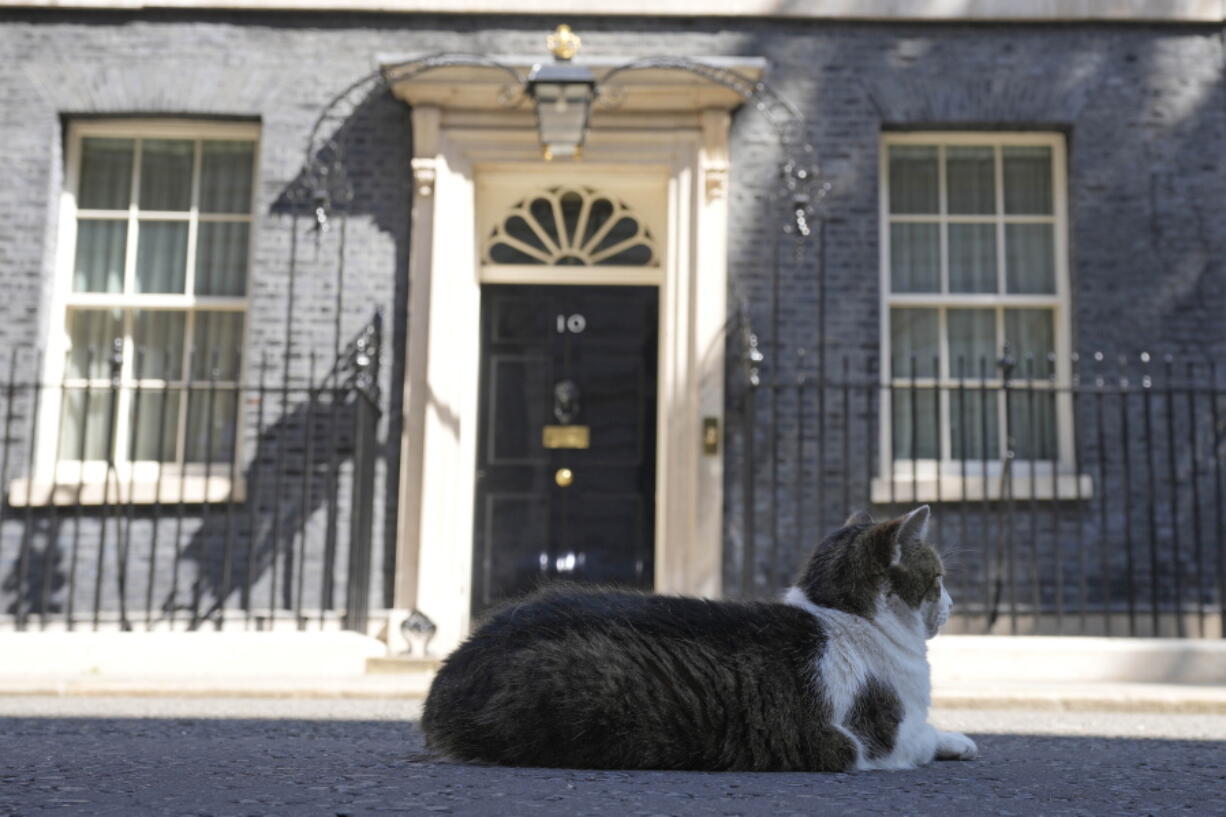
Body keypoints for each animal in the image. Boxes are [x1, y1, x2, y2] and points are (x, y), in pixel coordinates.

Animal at [421, 502, 975, 770]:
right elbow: (925, 736)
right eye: (939, 578)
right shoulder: (881, 739)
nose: (953, 604)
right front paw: (961, 741)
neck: (840, 612)